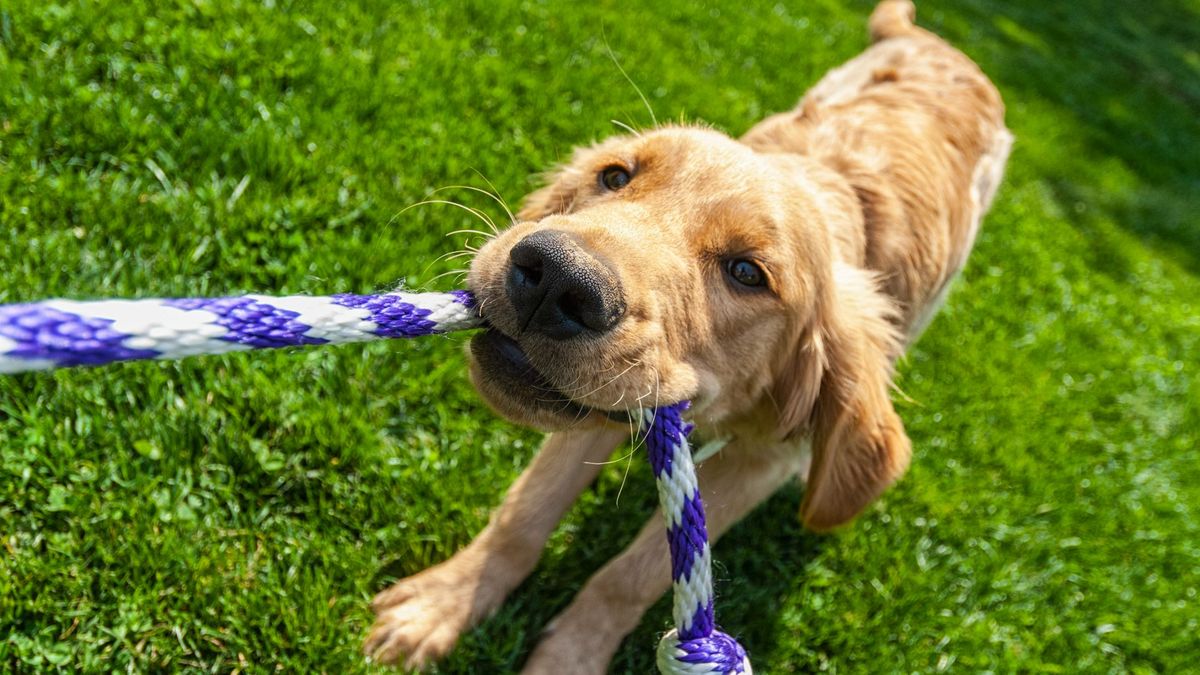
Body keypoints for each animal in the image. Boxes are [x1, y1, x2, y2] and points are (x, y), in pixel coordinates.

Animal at [364, 2, 1012, 667]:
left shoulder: (756, 460)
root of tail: (943, 45)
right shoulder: (603, 401)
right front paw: (444, 603)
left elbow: (632, 575)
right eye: (615, 176)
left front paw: (568, 659)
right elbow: (525, 511)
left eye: (747, 273)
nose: (556, 279)